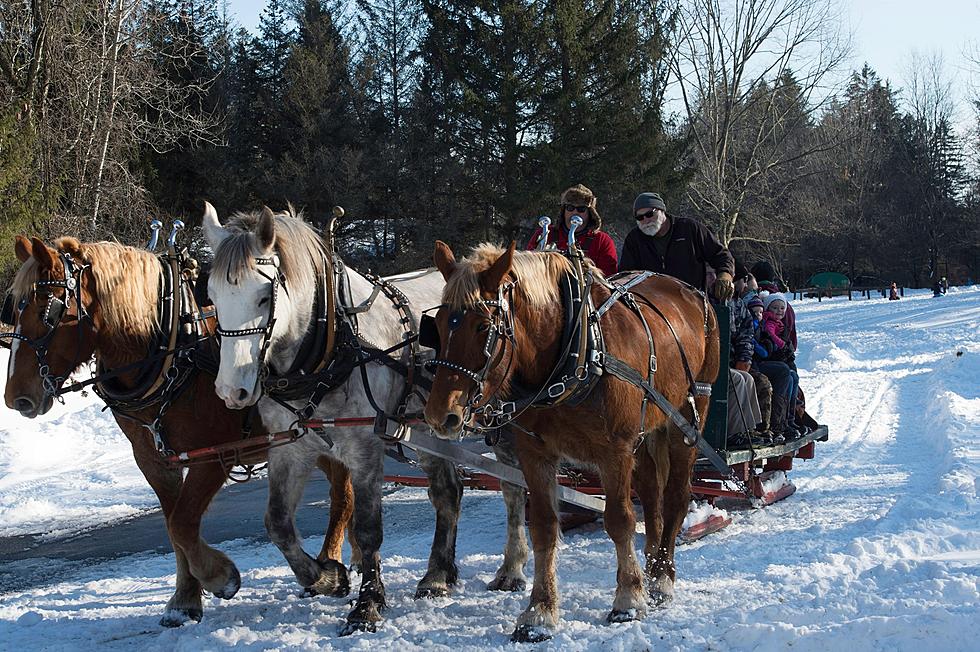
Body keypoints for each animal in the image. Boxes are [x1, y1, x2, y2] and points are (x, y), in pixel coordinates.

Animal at [2, 234, 356, 628]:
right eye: (12, 311)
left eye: (48, 312)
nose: (16, 397)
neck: (172, 349)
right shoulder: (154, 461)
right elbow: (173, 528)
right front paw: (184, 601)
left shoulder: (213, 456)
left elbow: (183, 524)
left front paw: (220, 577)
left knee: (343, 497)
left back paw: (328, 568)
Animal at [426, 241, 720, 640]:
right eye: (439, 326)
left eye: (483, 326)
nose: (440, 415)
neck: (575, 351)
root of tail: (690, 292)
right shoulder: (535, 455)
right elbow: (544, 528)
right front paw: (539, 612)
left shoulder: (615, 452)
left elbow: (619, 520)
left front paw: (628, 599)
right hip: (647, 431)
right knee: (651, 495)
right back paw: (651, 563)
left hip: (688, 418)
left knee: (675, 497)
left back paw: (661, 578)